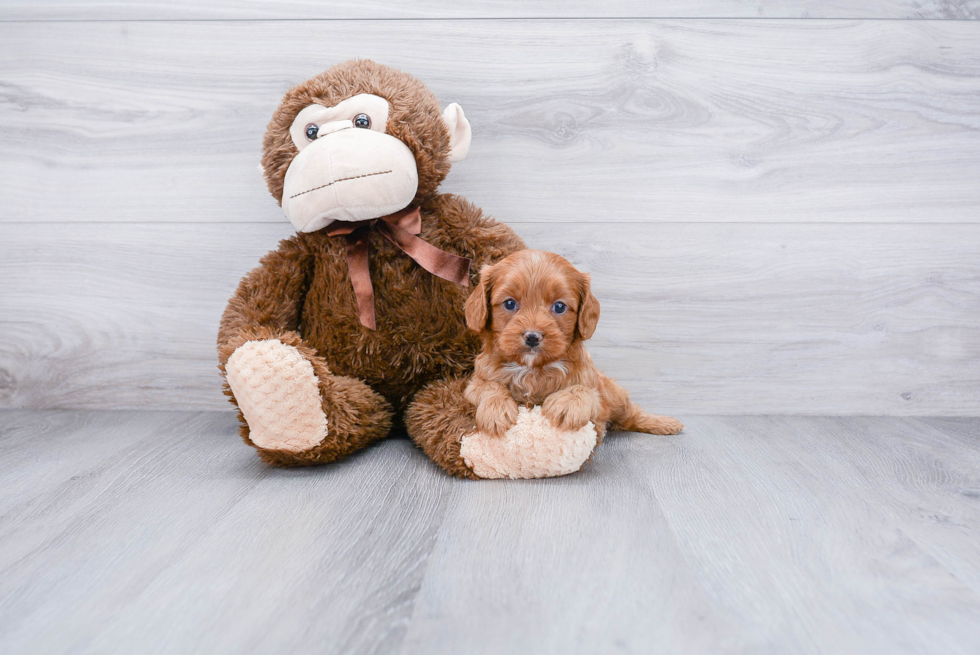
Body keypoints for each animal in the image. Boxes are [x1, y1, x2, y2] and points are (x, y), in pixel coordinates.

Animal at [466, 250, 680, 440]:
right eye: (509, 303)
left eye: (559, 306)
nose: (533, 337)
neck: (533, 369)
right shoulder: (475, 382)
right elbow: (488, 386)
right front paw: (496, 409)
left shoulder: (595, 391)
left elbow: (584, 390)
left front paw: (567, 404)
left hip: (615, 396)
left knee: (631, 415)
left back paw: (665, 423)